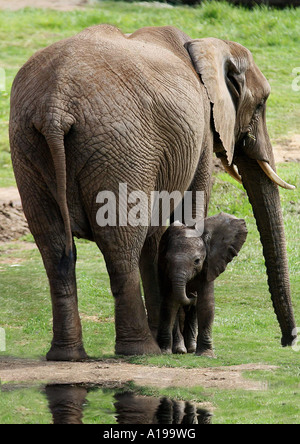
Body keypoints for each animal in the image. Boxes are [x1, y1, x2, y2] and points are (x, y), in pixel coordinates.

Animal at [156, 212, 247, 358]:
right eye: (168, 260)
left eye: (197, 261)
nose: (192, 294)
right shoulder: (165, 268)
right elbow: (170, 303)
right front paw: (164, 352)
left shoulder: (210, 263)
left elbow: (206, 303)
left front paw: (206, 355)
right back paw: (180, 350)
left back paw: (191, 348)